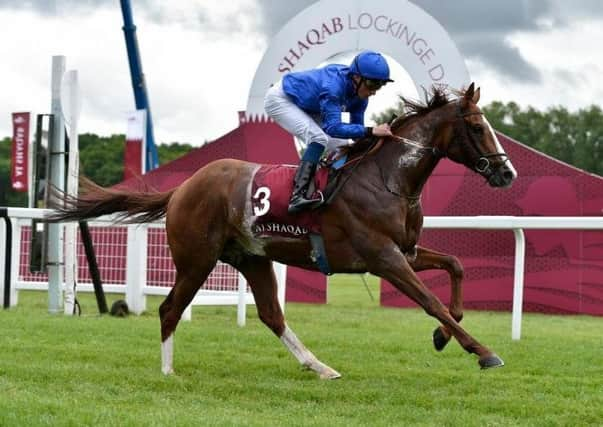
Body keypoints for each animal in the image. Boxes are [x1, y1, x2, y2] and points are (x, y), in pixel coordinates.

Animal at [49, 84, 516, 382]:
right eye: (477, 128)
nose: (507, 173)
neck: (388, 179)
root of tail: (182, 188)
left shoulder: (407, 251)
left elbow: (455, 267)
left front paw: (443, 336)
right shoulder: (384, 258)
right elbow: (431, 301)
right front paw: (484, 352)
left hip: (252, 257)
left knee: (272, 315)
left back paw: (321, 367)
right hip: (197, 259)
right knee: (169, 309)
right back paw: (167, 370)